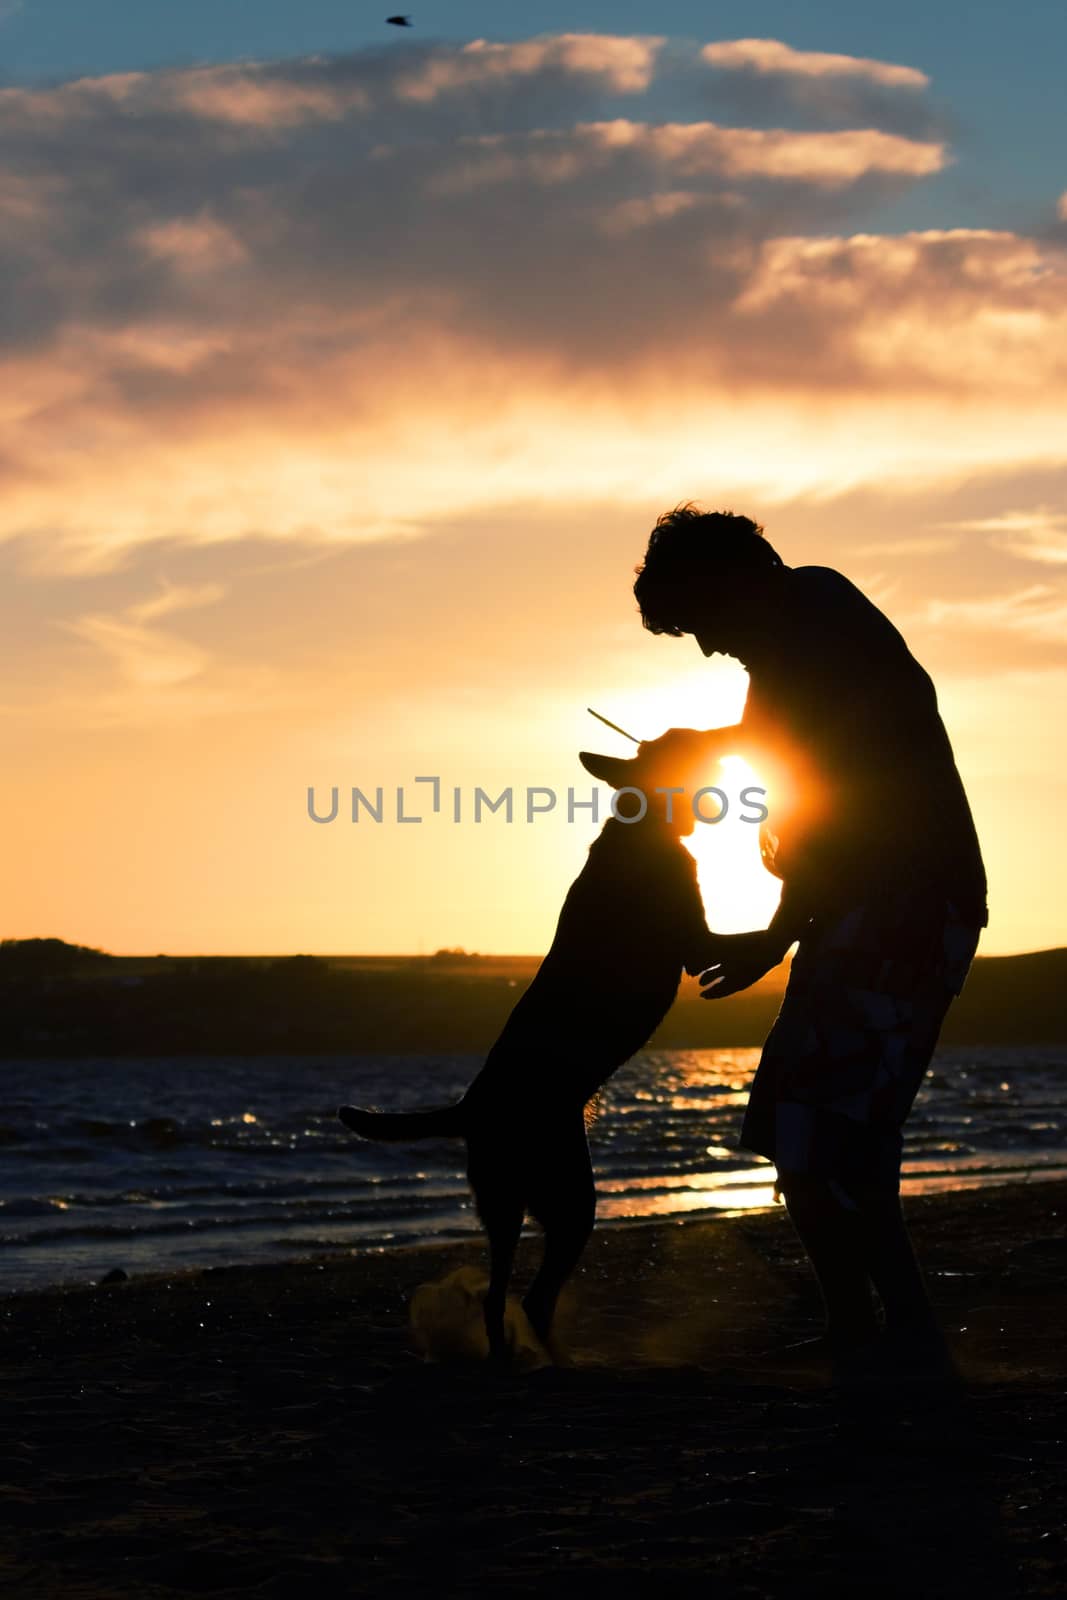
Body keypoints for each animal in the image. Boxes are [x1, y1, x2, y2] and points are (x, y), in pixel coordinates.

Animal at [335, 745, 716, 1363]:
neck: (642, 828)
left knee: (500, 1297)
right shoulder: (696, 944)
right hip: (569, 1200)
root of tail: (469, 1108)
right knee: (533, 1298)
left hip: (505, 1204)